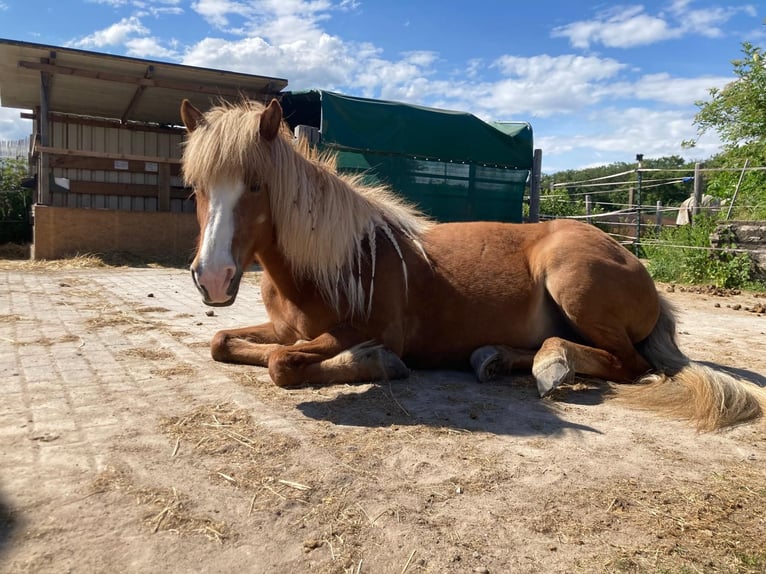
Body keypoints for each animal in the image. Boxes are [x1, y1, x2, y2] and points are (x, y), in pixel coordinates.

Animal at [182, 99, 766, 432]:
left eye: (257, 186)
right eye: (197, 186)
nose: (212, 278)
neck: (335, 262)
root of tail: (635, 264)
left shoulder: (373, 329)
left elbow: (284, 363)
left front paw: (375, 364)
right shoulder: (280, 327)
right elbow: (221, 343)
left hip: (573, 279)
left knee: (628, 363)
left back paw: (552, 365)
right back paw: (496, 359)